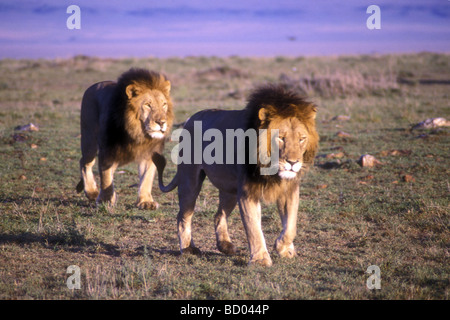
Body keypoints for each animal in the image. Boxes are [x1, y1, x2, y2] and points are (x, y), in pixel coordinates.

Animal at [75, 68, 174, 209]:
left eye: (164, 104)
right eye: (148, 105)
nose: (161, 122)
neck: (137, 133)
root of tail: (93, 86)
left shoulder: (150, 153)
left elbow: (147, 177)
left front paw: (145, 202)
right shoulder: (108, 150)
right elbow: (105, 177)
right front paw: (105, 200)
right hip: (89, 138)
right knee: (85, 162)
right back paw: (92, 192)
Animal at [153, 84, 318, 264]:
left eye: (302, 139)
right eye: (280, 138)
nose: (293, 162)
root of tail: (190, 119)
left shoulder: (289, 188)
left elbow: (291, 224)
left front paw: (284, 248)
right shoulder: (247, 191)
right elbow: (254, 227)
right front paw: (260, 259)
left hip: (229, 190)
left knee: (219, 215)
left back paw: (225, 246)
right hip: (190, 181)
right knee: (183, 216)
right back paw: (188, 248)